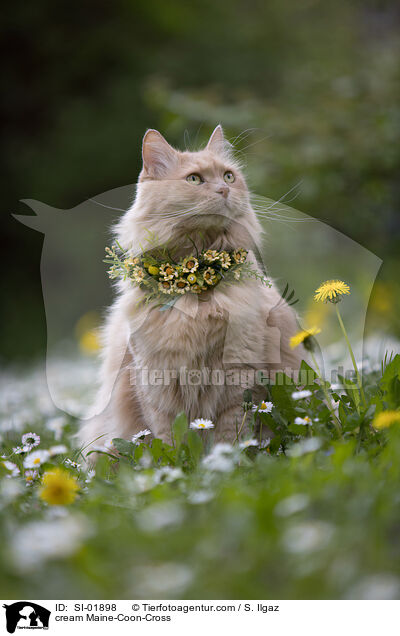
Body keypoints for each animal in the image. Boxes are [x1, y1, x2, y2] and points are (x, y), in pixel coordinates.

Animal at [79, 125, 304, 452]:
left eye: (228, 176)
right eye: (194, 179)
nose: (224, 190)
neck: (194, 284)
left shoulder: (240, 382)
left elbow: (229, 439)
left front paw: (223, 461)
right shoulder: (155, 386)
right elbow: (170, 443)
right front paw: (182, 464)